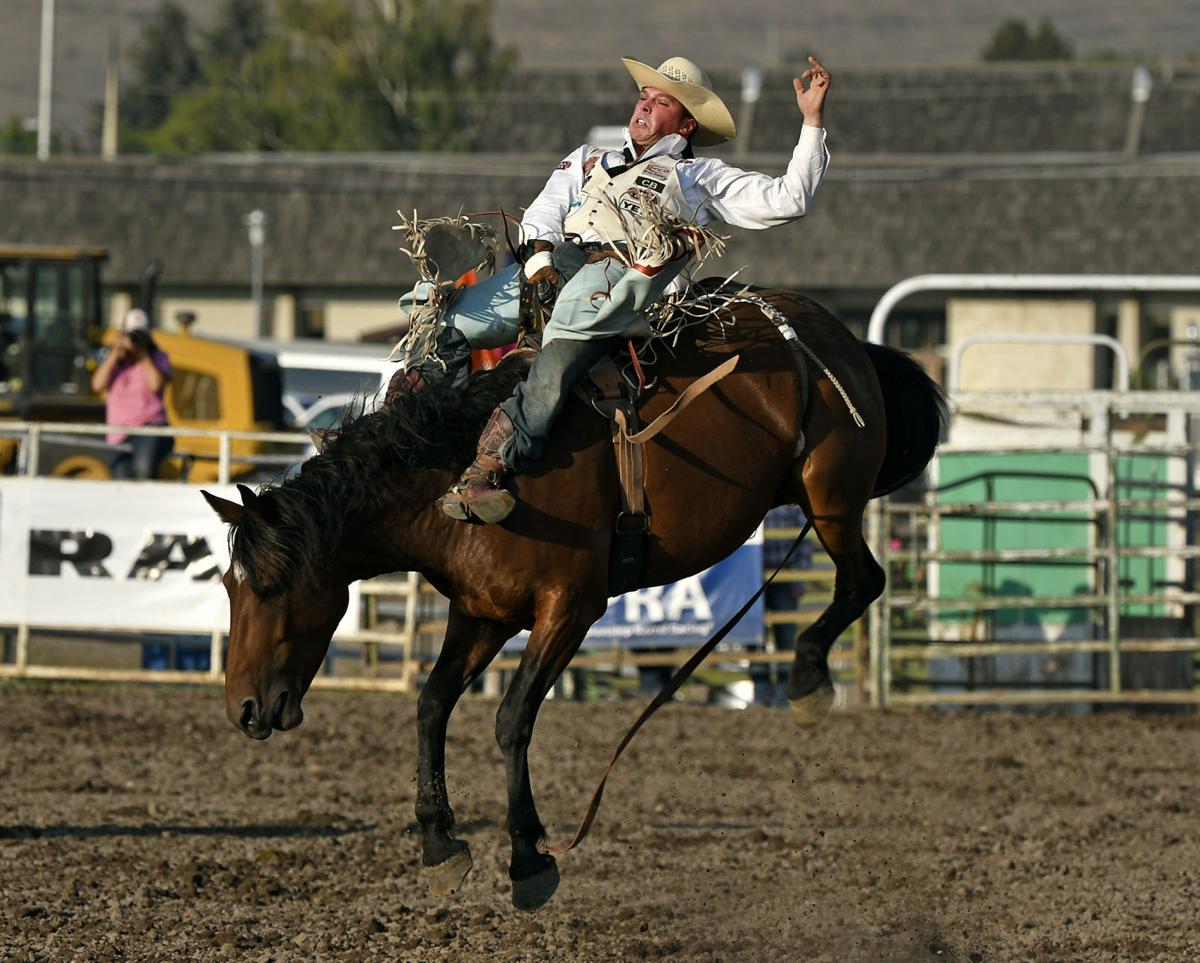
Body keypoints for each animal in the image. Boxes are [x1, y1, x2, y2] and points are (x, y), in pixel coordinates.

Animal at [201, 290, 940, 907]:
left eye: (270, 585)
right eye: (229, 585)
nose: (242, 709)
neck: (458, 475)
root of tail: (838, 336)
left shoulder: (570, 607)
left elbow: (512, 718)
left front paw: (528, 858)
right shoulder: (481, 612)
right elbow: (431, 705)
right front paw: (440, 843)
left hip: (830, 497)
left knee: (864, 580)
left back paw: (810, 678)